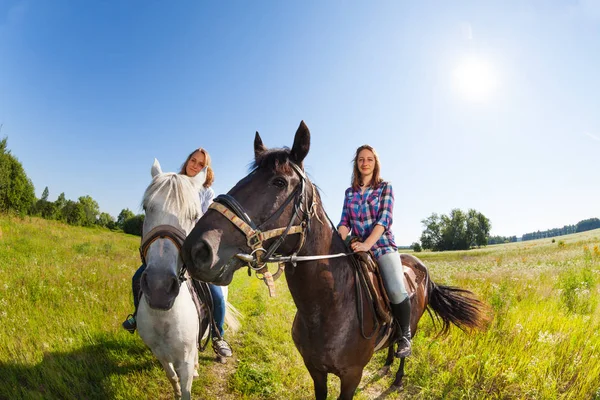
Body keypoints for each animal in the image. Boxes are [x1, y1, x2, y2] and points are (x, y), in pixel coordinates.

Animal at [136, 159, 239, 400]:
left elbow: (186, 387)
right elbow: (172, 377)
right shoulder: (160, 354)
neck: (163, 316)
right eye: (146, 207)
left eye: (194, 216)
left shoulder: (184, 359)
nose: (159, 288)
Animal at [180, 122, 490, 400]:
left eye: (279, 182)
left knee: (405, 344)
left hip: (411, 324)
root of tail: (420, 267)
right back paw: (387, 364)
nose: (197, 249)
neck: (329, 306)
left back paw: (398, 375)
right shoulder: (315, 370)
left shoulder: (351, 376)